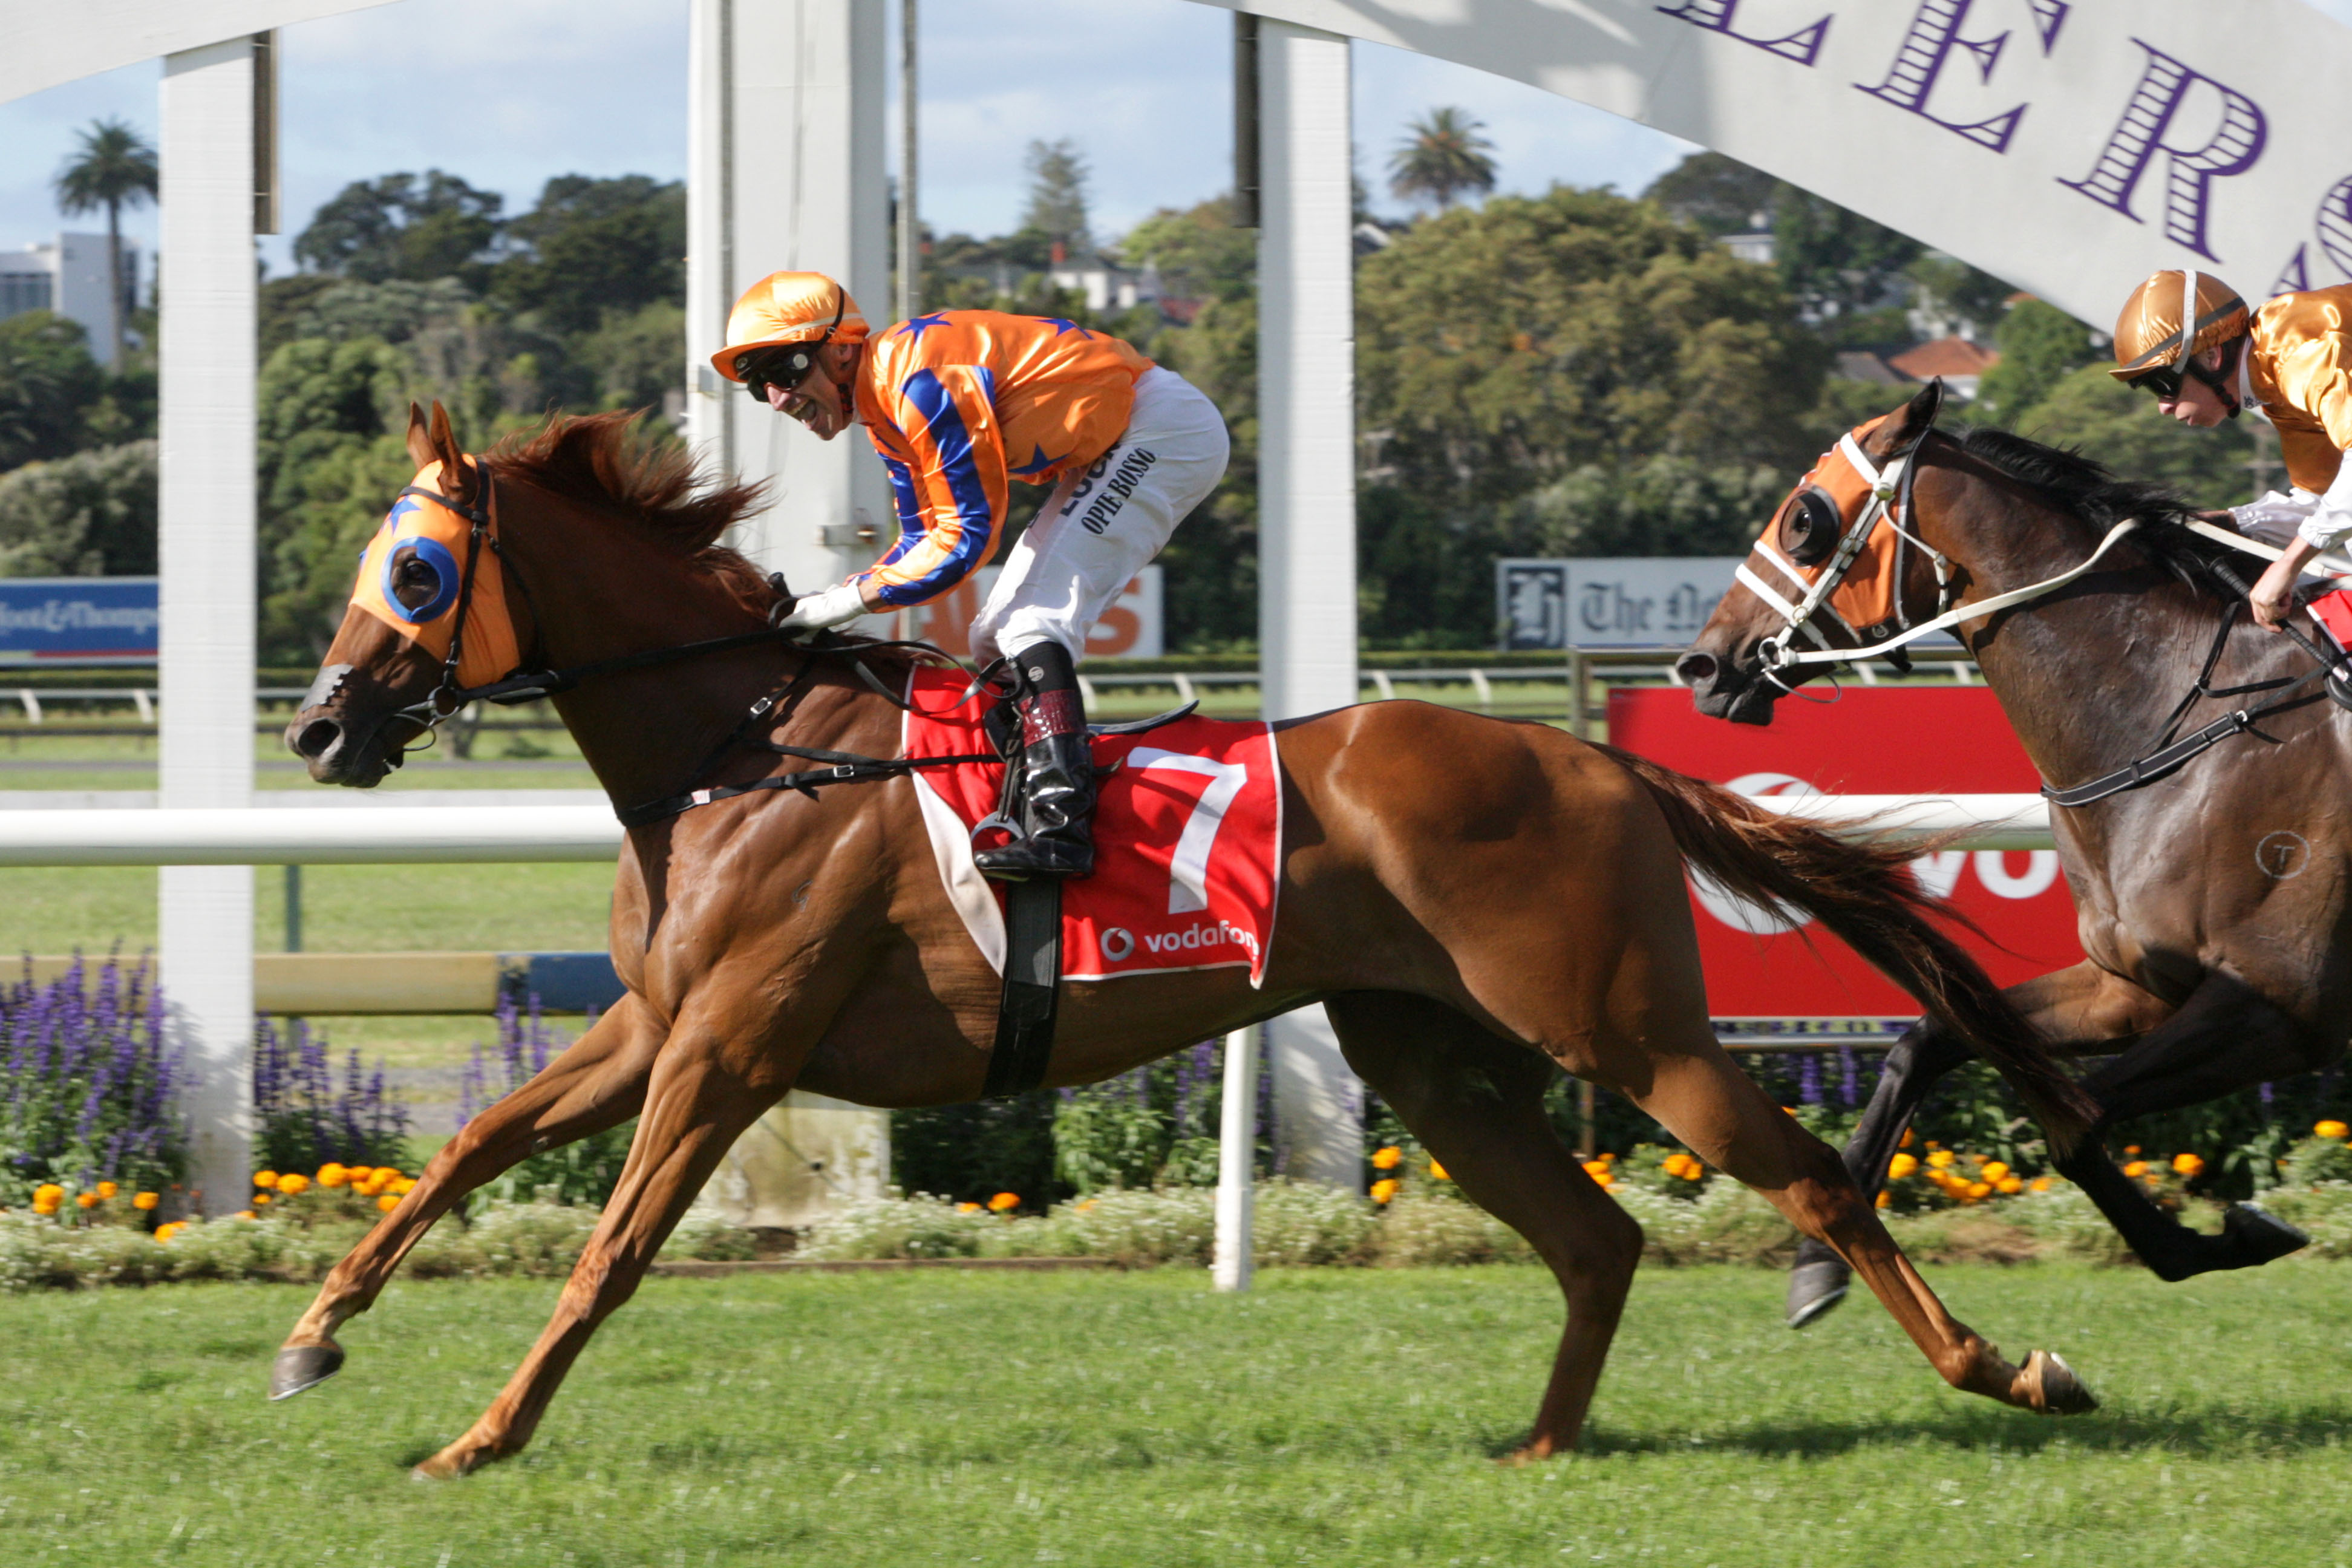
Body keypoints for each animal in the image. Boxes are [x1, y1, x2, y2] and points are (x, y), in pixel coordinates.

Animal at [270, 402, 2098, 1476]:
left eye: (416, 569)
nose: (316, 724)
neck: (748, 743)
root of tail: (1598, 758)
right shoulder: (653, 1024)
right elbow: (472, 1148)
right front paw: (313, 1335)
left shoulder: (731, 1044)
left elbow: (608, 1251)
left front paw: (480, 1436)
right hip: (1427, 1053)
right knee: (1594, 1240)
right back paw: (1539, 1446)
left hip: (1626, 1030)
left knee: (1803, 1186)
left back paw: (2010, 1373)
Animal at [1684, 385, 2324, 1335]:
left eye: (1804, 519)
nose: (1703, 663)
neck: (2186, 722)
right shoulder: (2136, 983)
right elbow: (1934, 1039)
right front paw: (1817, 1262)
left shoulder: (2278, 1010)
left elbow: (2078, 1123)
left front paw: (2229, 1234)